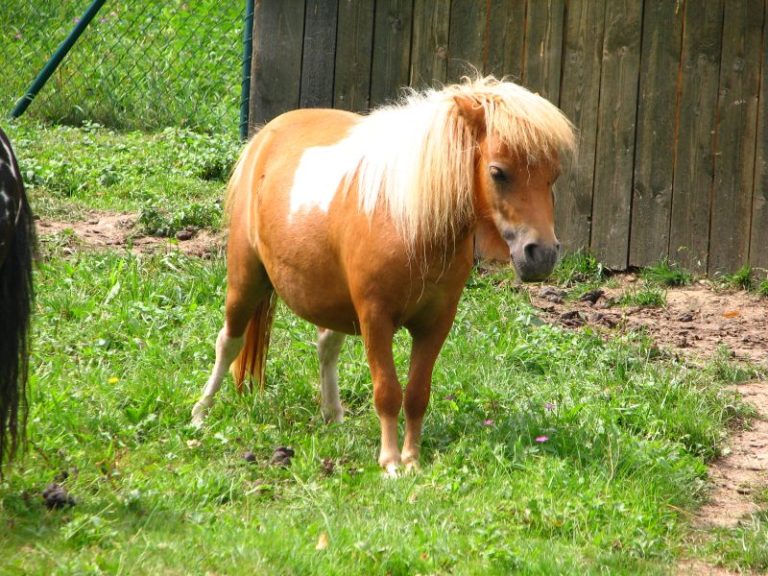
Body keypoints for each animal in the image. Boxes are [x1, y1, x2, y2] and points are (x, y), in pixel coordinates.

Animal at [192, 76, 576, 474]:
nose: (541, 254)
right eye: (498, 172)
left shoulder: (435, 324)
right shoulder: (375, 319)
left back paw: (333, 416)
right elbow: (388, 392)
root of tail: (266, 136)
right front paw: (391, 462)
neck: (409, 222)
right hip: (245, 279)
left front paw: (412, 459)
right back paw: (201, 414)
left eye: (553, 176)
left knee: (326, 346)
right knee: (229, 341)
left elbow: (418, 393)